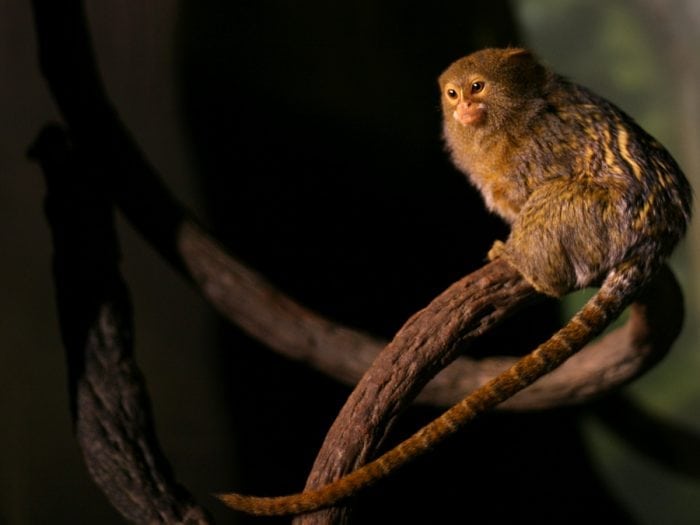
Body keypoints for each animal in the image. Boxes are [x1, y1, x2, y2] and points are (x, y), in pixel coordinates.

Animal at [217, 48, 692, 516]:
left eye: (478, 87)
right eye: (453, 93)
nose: (464, 106)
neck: (517, 116)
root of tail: (658, 234)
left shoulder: (541, 151)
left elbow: (541, 187)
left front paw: (514, 248)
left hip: (602, 216)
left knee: (551, 204)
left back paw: (529, 265)